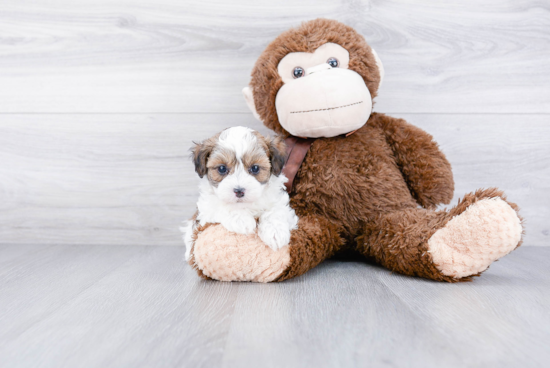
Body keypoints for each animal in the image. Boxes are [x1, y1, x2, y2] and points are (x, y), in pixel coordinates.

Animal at [183, 128, 298, 260]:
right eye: (222, 168)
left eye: (255, 168)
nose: (239, 191)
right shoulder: (205, 211)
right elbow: (221, 206)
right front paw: (242, 219)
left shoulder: (279, 201)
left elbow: (275, 211)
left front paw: (275, 231)